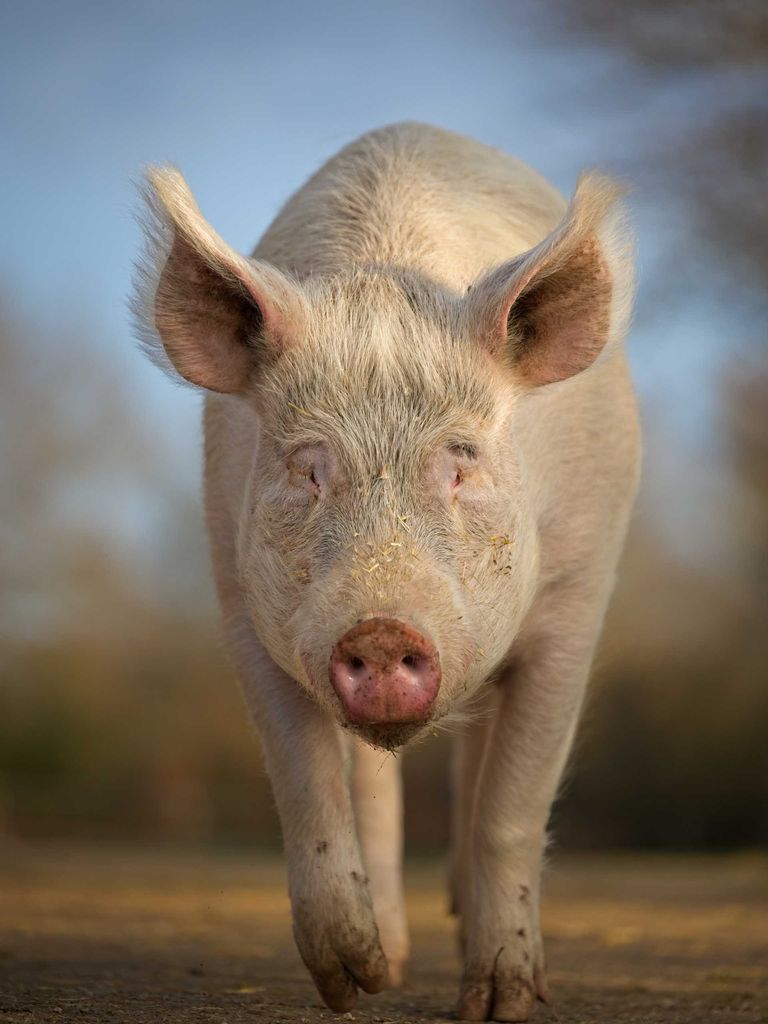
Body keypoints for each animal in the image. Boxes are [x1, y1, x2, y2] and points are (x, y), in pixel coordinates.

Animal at [134, 123, 643, 1019]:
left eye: (461, 463)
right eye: (308, 468)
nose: (378, 626)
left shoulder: (576, 599)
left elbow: (513, 805)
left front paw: (501, 1004)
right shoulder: (242, 601)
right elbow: (308, 784)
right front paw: (352, 983)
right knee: (376, 791)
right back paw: (394, 965)